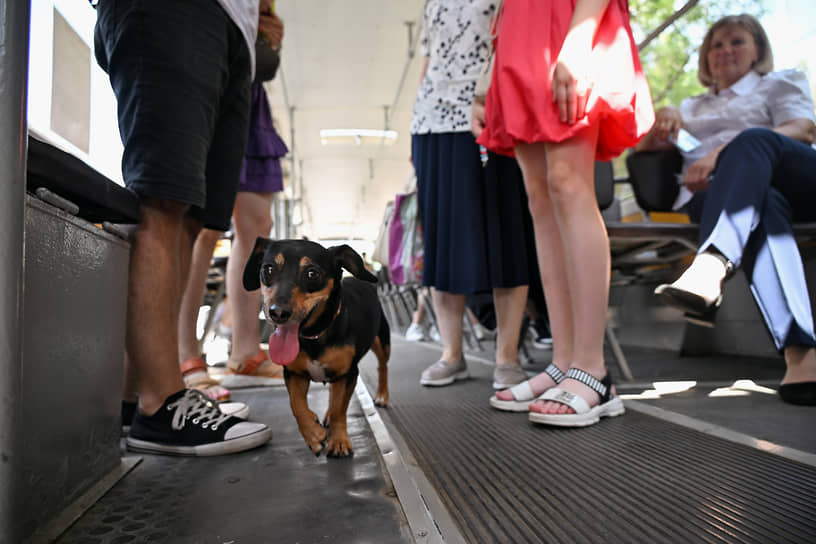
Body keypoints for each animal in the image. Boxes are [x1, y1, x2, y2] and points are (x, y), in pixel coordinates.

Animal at [242, 238, 388, 454]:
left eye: (312, 273)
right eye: (268, 269)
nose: (278, 313)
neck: (315, 335)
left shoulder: (349, 374)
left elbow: (340, 410)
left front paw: (339, 441)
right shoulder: (294, 374)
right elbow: (296, 404)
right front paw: (312, 433)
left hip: (382, 342)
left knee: (382, 367)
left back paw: (382, 396)